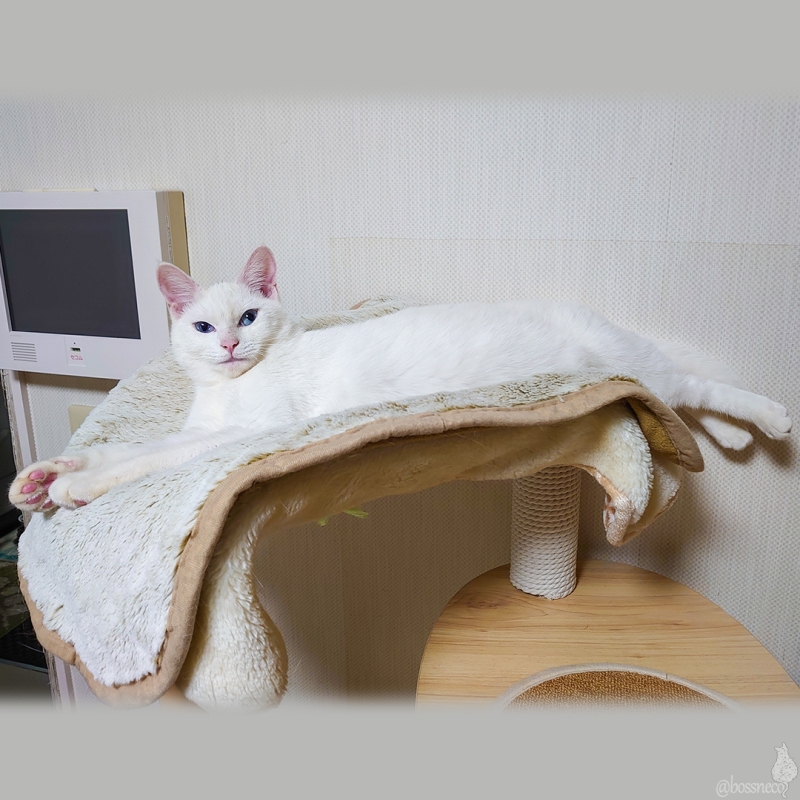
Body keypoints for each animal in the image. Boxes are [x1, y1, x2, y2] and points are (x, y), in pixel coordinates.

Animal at [10, 246, 792, 512]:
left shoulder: (246, 432)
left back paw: (772, 419)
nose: (230, 343)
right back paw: (736, 438)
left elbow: (151, 461)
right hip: (636, 368)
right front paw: (48, 475)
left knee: (697, 388)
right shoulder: (200, 425)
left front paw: (78, 487)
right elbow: (130, 449)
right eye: (203, 327)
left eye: (250, 315)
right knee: (680, 394)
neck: (226, 391)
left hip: (625, 362)